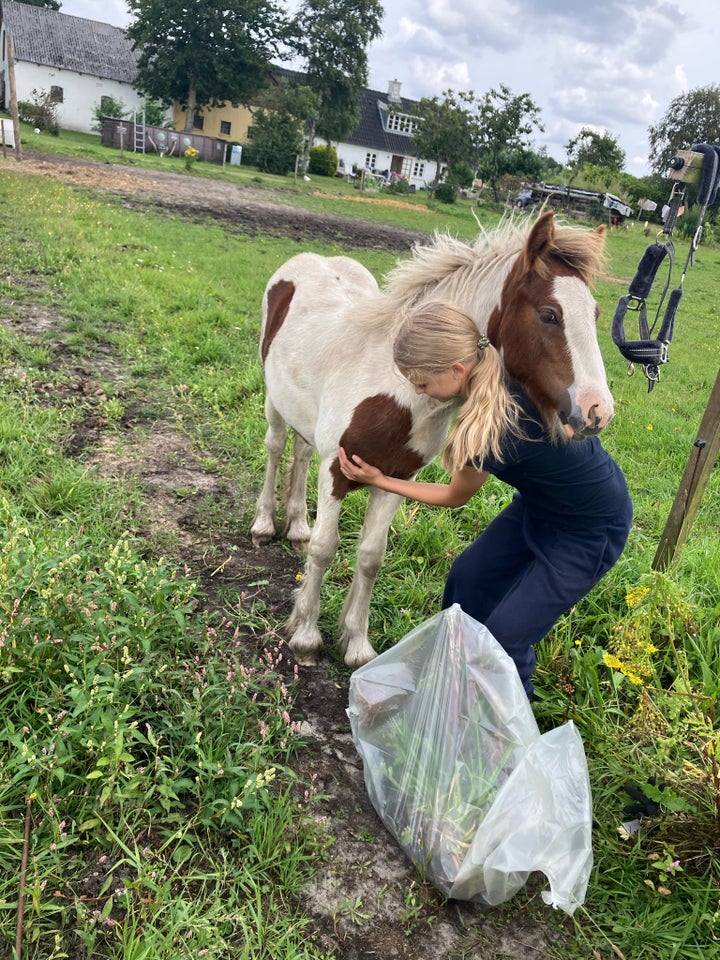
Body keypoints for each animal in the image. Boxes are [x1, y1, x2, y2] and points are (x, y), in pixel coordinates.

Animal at [250, 208, 612, 668]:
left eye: (595, 314)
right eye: (550, 314)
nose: (597, 410)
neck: (397, 388)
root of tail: (311, 259)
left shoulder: (395, 479)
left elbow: (370, 556)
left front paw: (356, 643)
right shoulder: (336, 469)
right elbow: (325, 548)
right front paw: (307, 638)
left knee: (299, 453)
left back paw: (296, 525)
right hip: (274, 401)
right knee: (276, 448)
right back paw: (264, 524)